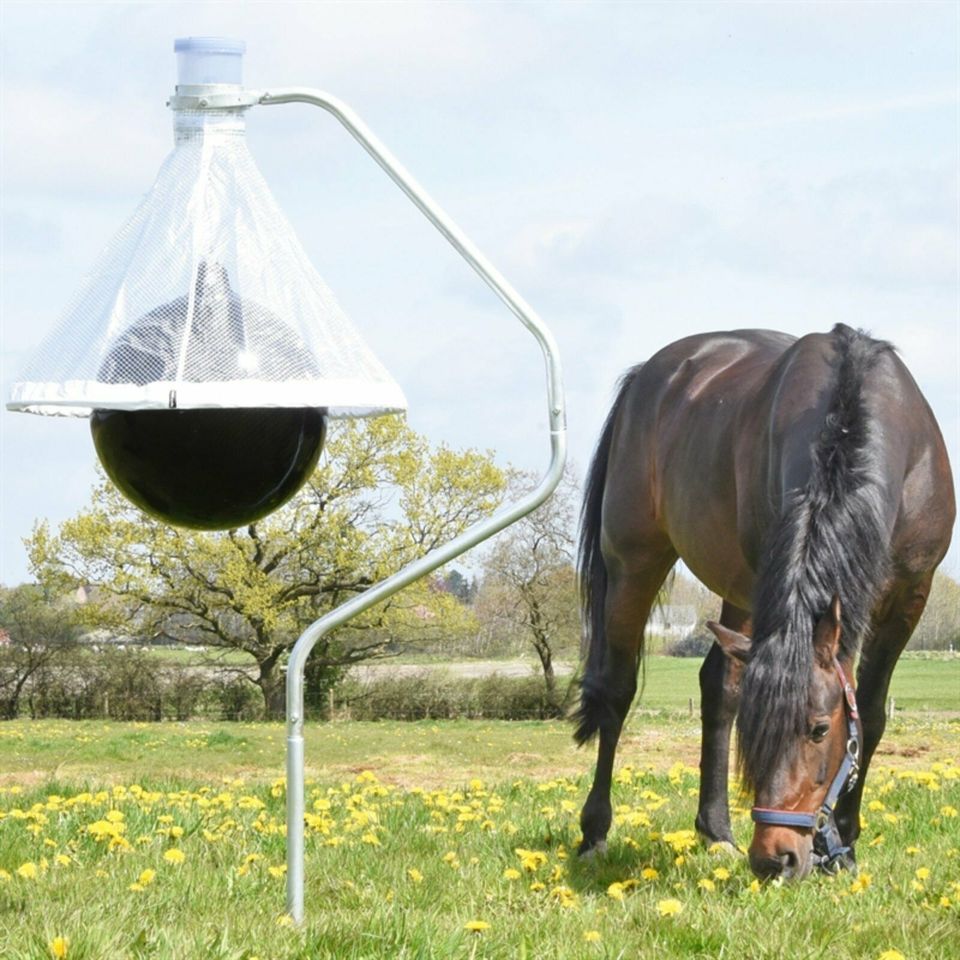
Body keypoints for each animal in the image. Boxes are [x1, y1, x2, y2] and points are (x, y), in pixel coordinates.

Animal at [572, 326, 956, 880]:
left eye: (819, 730)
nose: (775, 859)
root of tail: (649, 374)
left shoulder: (910, 596)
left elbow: (871, 712)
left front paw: (845, 843)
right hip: (635, 563)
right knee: (616, 691)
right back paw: (595, 833)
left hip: (736, 590)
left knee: (719, 686)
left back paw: (716, 833)